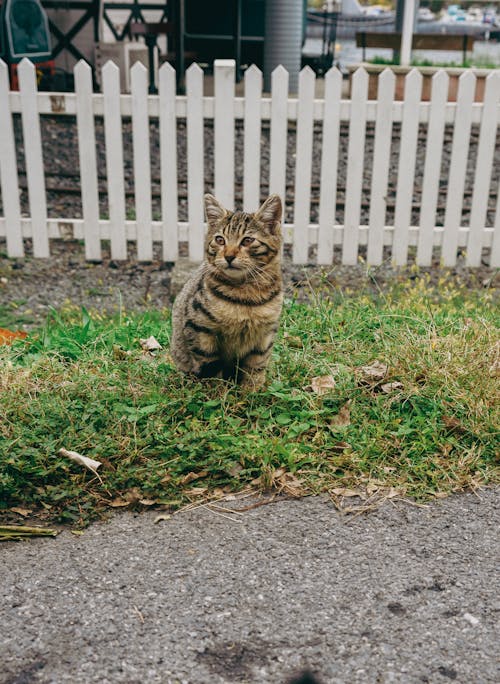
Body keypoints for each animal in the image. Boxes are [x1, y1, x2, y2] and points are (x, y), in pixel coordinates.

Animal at [170, 192, 284, 390]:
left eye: (247, 240)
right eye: (219, 240)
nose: (229, 256)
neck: (246, 295)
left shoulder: (265, 335)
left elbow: (256, 367)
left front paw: (252, 393)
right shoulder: (201, 329)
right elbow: (211, 369)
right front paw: (217, 394)